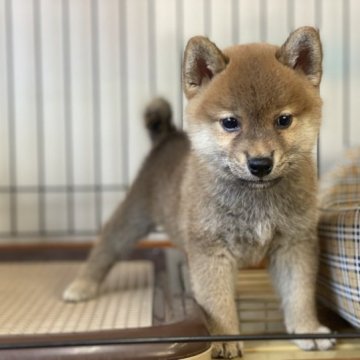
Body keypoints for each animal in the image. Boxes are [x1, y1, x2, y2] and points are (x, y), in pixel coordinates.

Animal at [63, 27, 336, 358]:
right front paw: (223, 339)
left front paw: (308, 328)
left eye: (283, 120)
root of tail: (166, 138)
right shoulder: (211, 251)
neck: (255, 197)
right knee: (105, 248)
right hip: (132, 219)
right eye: (230, 122)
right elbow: (217, 303)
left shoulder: (294, 245)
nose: (260, 164)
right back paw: (82, 285)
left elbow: (299, 294)